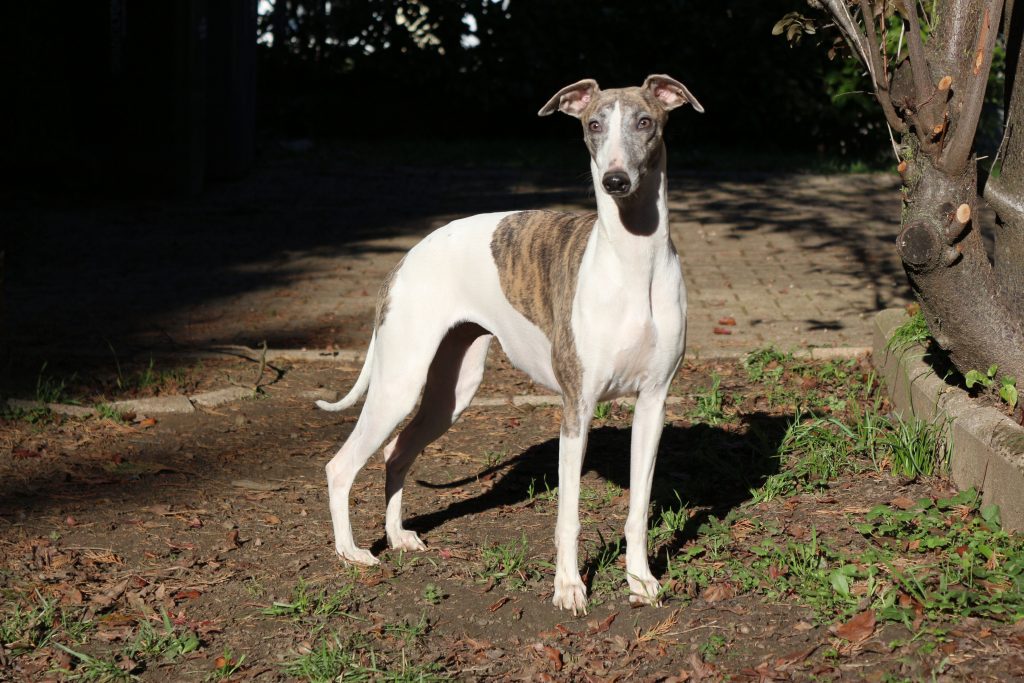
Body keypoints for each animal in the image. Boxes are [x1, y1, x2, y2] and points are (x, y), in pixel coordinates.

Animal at [317, 74, 704, 614]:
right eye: (594, 125)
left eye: (645, 122)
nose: (615, 181)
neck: (633, 262)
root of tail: (407, 256)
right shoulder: (577, 409)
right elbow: (568, 517)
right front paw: (569, 588)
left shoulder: (653, 404)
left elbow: (638, 509)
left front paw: (639, 581)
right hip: (400, 382)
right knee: (340, 465)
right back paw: (351, 552)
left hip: (452, 391)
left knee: (396, 451)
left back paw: (397, 537)